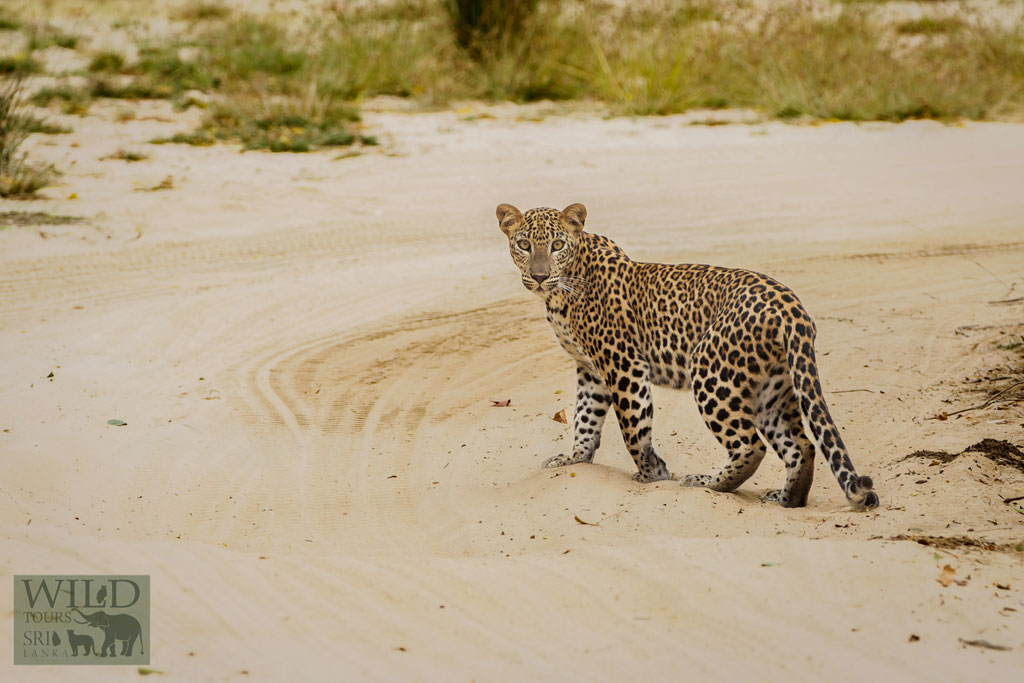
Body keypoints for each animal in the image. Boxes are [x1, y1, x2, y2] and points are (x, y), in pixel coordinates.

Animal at [496, 202, 879, 509]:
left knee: (751, 445)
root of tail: (791, 305)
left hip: (712, 372)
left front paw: (652, 474)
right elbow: (586, 419)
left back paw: (708, 484)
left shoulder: (623, 364)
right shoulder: (590, 369)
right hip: (773, 388)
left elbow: (633, 426)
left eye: (557, 245)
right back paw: (786, 499)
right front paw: (574, 460)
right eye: (524, 245)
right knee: (802, 445)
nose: (540, 276)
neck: (562, 291)